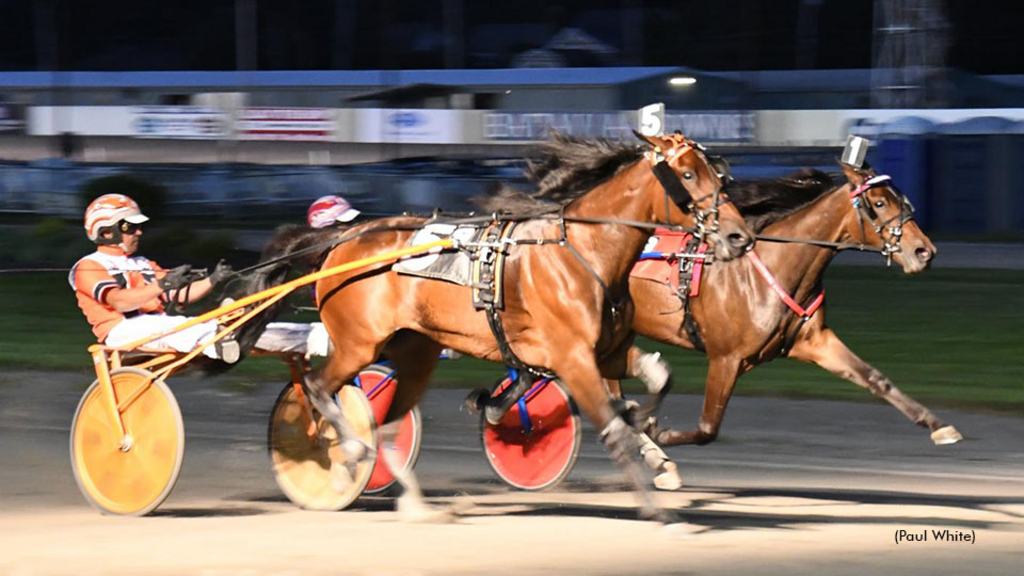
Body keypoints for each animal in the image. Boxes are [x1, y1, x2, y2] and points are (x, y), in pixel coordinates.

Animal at [606, 158, 958, 463]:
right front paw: (656, 430)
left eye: (903, 200)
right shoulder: (725, 358)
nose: (924, 251)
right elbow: (707, 428)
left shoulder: (814, 341)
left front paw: (938, 425)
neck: (774, 266)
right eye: (881, 203)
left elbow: (874, 378)